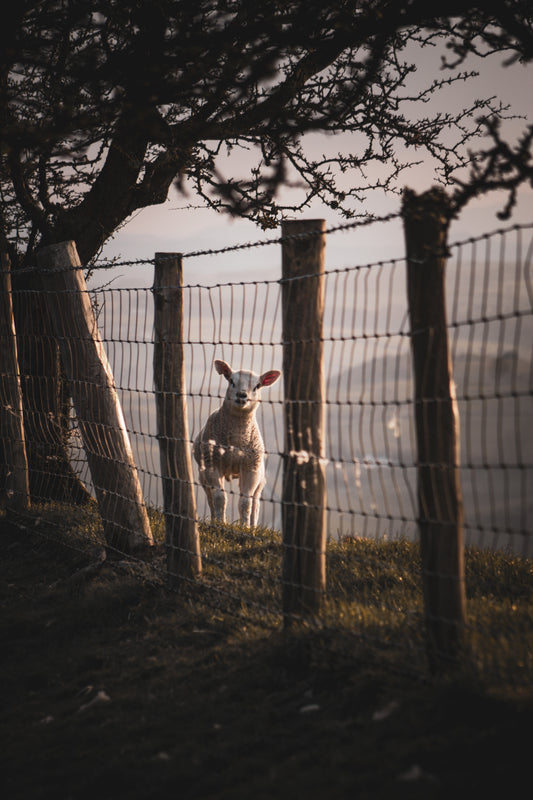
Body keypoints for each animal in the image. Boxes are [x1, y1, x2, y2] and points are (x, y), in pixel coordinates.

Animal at [193, 359, 281, 527]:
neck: (236, 439)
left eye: (257, 386)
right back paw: (214, 518)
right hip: (203, 474)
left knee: (256, 501)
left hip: (260, 476)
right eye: (231, 381)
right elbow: (219, 497)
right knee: (210, 497)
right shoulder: (212, 465)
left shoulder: (250, 469)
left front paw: (245, 527)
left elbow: (246, 502)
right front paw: (220, 523)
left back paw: (253, 526)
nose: (242, 395)